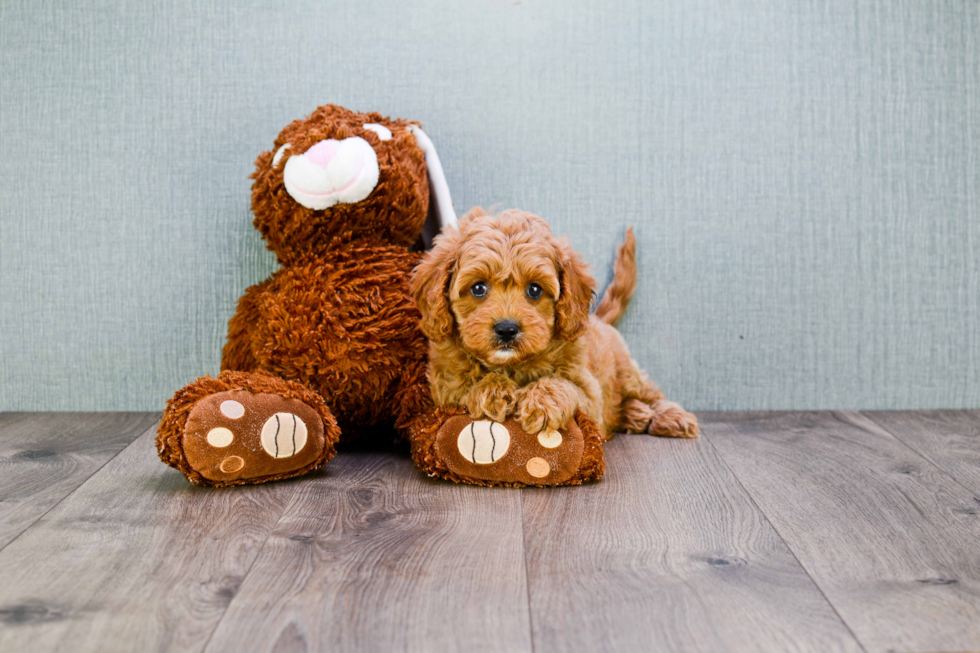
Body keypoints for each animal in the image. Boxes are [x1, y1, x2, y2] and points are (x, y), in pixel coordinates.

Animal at [410, 209, 700, 440]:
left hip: (628, 373)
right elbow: (465, 384)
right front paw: (491, 389)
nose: (507, 329)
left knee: (651, 393)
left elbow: (562, 383)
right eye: (478, 288)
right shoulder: (443, 388)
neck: (512, 365)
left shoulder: (590, 396)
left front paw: (540, 401)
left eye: (535, 290)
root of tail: (598, 318)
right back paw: (635, 414)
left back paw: (670, 416)